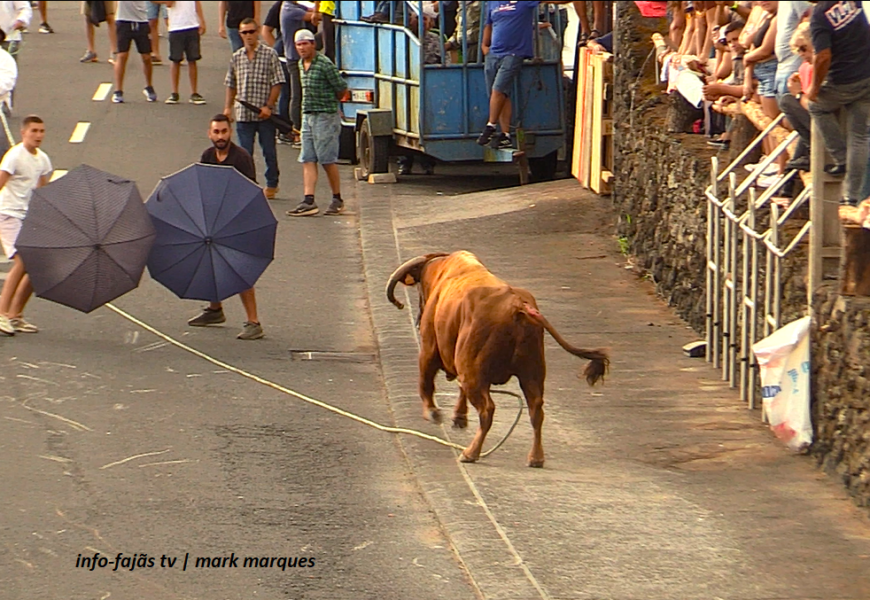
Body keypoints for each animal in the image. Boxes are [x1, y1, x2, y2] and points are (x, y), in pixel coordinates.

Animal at [384, 251, 608, 466]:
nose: (419, 316)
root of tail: (518, 306)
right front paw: (459, 417)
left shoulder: (430, 348)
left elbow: (426, 381)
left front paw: (432, 412)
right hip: (532, 373)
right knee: (536, 410)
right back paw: (535, 458)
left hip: (476, 375)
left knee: (487, 410)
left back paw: (471, 453)